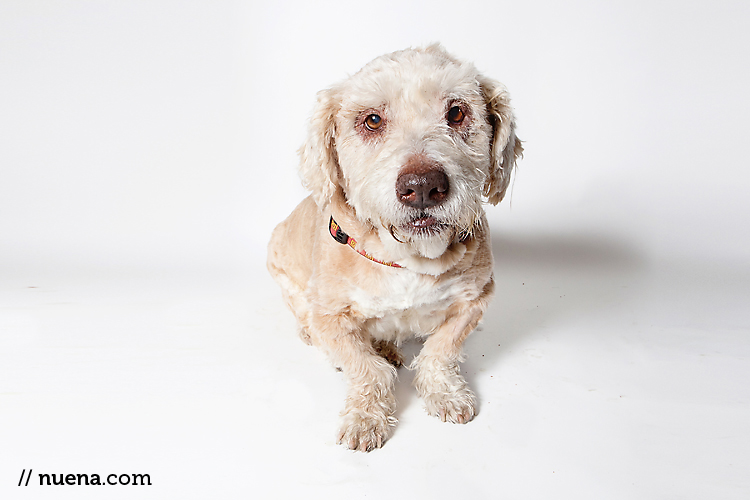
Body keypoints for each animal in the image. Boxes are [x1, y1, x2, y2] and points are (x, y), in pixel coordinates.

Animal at [268, 45, 524, 452]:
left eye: (456, 112)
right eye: (372, 120)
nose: (423, 186)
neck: (409, 259)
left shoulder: (474, 300)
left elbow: (441, 351)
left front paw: (445, 392)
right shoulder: (331, 316)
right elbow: (365, 367)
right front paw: (365, 416)